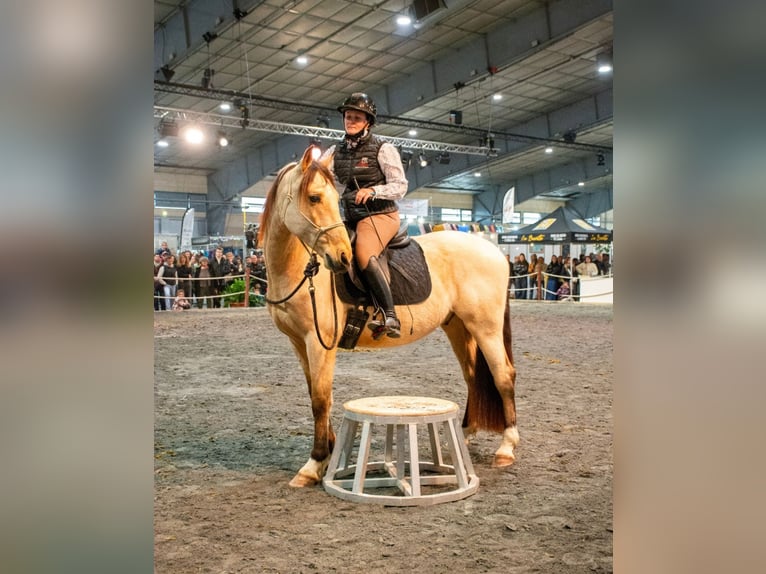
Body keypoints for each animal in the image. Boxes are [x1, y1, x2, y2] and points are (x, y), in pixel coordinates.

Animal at [258, 147, 518, 487]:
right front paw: (327, 453)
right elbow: (316, 393)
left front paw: (313, 464)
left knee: (503, 376)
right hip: (459, 328)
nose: (343, 257)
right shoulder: (298, 343)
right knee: (474, 376)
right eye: (314, 198)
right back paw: (463, 437)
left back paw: (507, 448)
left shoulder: (319, 343)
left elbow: (320, 399)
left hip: (485, 328)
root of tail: (496, 252)